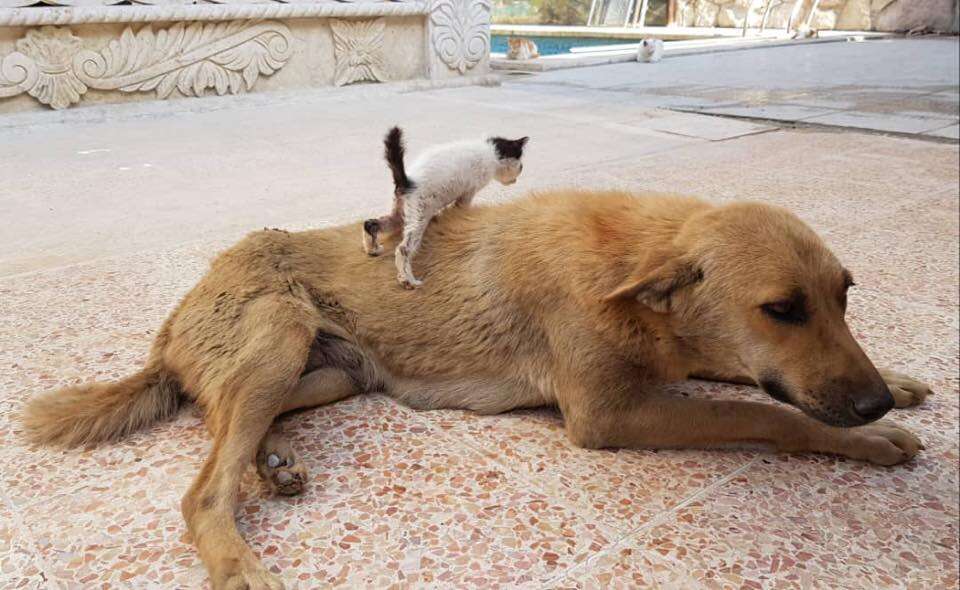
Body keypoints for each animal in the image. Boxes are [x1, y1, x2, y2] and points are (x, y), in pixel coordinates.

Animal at [22, 191, 932, 590]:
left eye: (844, 296)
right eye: (782, 309)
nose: (873, 403)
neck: (630, 262)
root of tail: (172, 322)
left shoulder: (667, 368)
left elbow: (749, 381)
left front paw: (899, 383)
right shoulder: (608, 413)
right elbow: (759, 409)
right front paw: (864, 438)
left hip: (333, 371)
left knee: (229, 431)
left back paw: (273, 463)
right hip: (278, 335)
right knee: (203, 486)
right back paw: (240, 562)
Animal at [362, 126, 528, 290]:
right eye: (520, 166)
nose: (516, 179)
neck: (490, 152)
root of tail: (408, 181)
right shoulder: (468, 192)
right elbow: (461, 208)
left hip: (400, 213)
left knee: (371, 224)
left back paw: (372, 249)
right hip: (419, 216)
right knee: (403, 249)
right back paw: (408, 281)